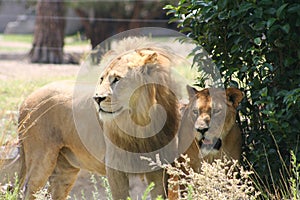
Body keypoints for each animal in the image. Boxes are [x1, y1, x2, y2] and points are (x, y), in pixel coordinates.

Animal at [18, 38, 180, 199]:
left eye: (117, 79)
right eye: (102, 79)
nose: (97, 98)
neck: (141, 122)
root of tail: (27, 98)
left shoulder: (159, 167)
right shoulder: (115, 166)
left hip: (65, 170)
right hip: (41, 160)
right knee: (29, 190)